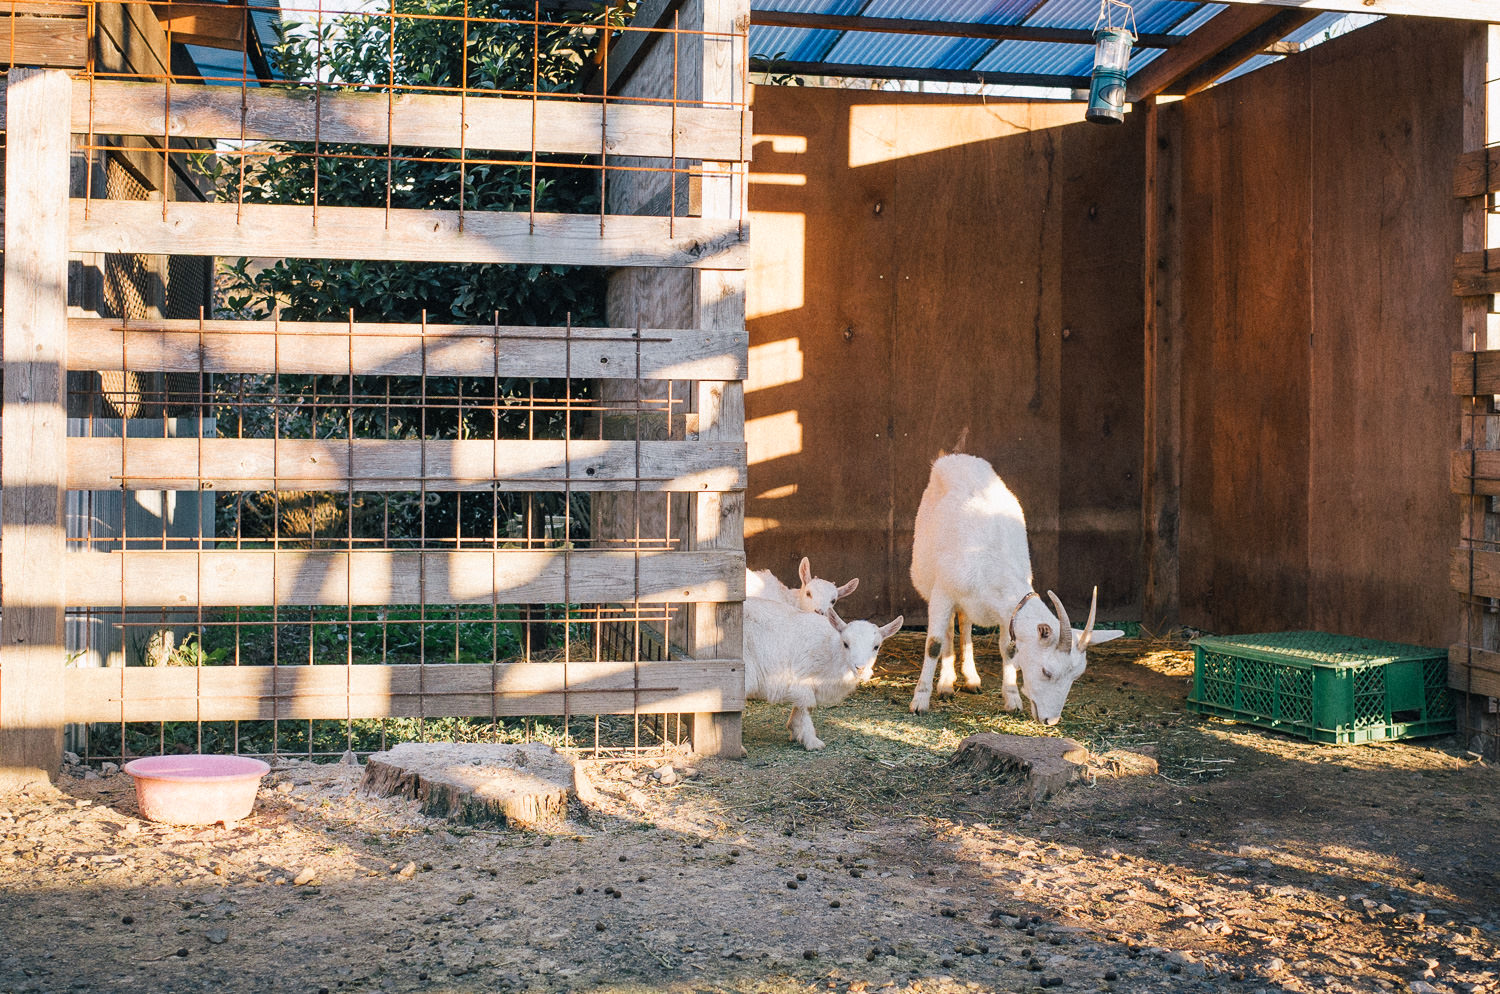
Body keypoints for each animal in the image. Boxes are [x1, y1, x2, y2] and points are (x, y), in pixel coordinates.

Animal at [741, 593, 894, 749]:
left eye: (876, 646)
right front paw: (812, 741)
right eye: (846, 644)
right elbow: (806, 707)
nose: (860, 668)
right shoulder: (802, 679)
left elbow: (802, 707)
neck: (831, 651)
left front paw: (794, 729)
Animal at [900, 452, 1128, 722]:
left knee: (964, 624)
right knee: (947, 630)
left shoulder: (1004, 611)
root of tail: (958, 458)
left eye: (1077, 675)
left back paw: (971, 679)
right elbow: (933, 644)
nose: (1051, 720)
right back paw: (945, 684)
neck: (991, 561)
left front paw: (1012, 699)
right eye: (1047, 671)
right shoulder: (943, 593)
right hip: (932, 583)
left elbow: (1008, 649)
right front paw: (919, 701)